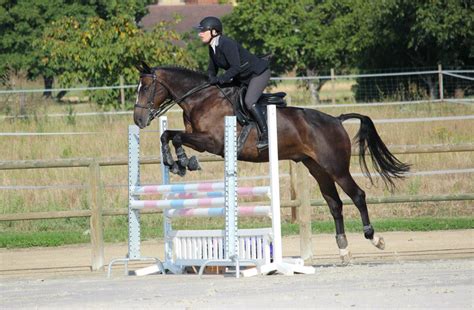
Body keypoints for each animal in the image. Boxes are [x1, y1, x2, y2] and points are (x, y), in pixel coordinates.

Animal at [134, 63, 412, 264]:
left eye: (145, 88)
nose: (138, 119)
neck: (201, 98)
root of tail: (336, 119)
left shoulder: (211, 142)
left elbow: (176, 136)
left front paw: (183, 161)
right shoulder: (201, 140)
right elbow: (168, 135)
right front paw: (175, 163)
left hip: (336, 167)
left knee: (357, 195)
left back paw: (375, 238)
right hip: (317, 168)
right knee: (334, 203)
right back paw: (344, 250)